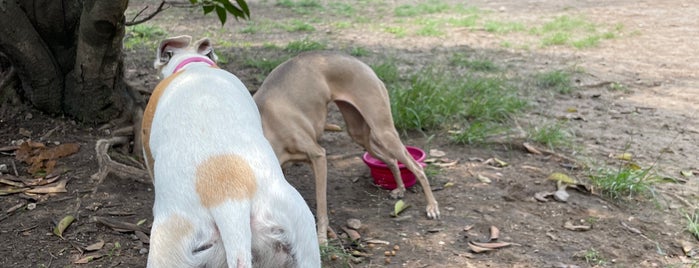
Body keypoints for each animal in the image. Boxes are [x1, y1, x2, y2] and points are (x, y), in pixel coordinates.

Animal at [254, 50, 440, 243]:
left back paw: (432, 206)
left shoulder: (318, 156)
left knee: (417, 167)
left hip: (383, 130)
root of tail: (363, 65)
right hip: (359, 133)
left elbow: (321, 205)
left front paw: (322, 237)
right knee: (391, 159)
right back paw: (401, 189)